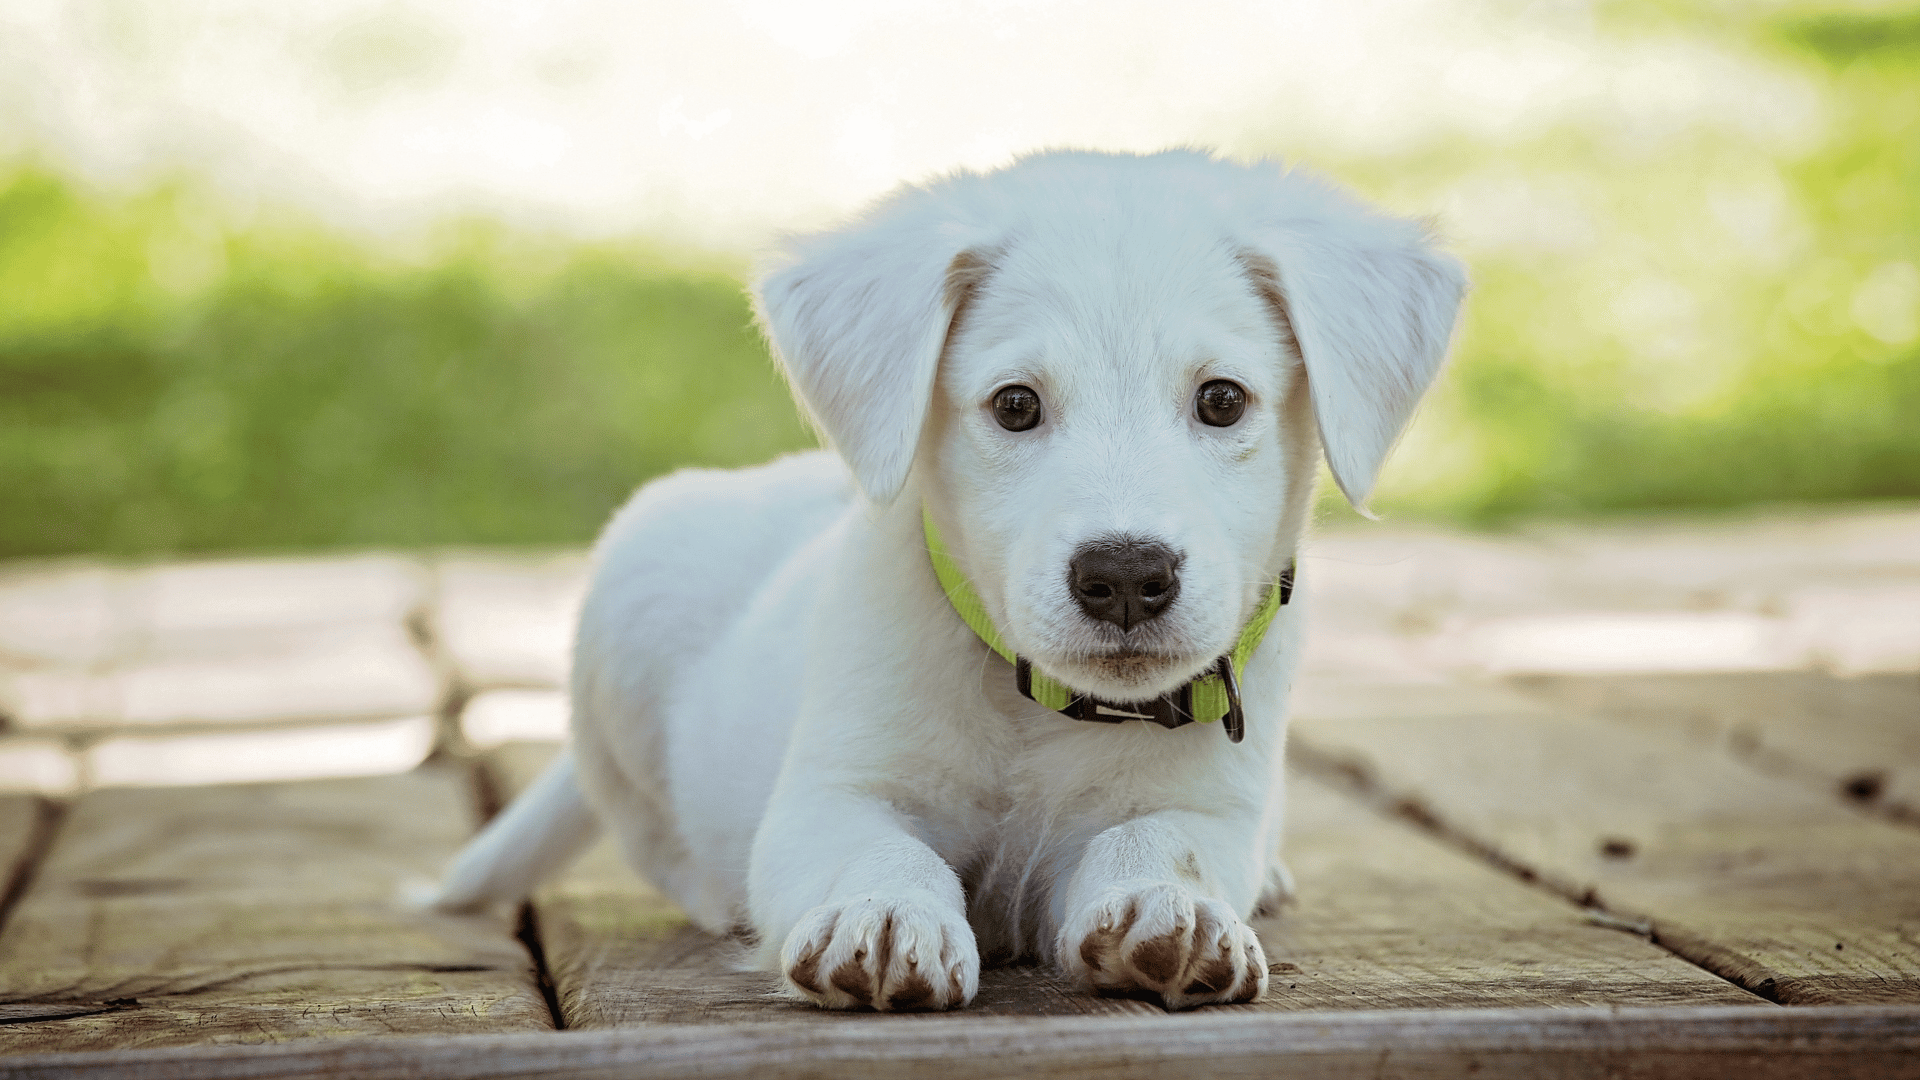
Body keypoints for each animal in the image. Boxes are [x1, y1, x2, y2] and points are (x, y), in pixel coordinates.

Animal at [435, 148, 1459, 1006]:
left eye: (1222, 400)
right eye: (1015, 406)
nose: (1126, 576)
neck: (1039, 709)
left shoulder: (1208, 806)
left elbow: (1159, 842)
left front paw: (1172, 911)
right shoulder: (832, 795)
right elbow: (884, 852)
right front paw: (886, 916)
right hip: (630, 598)